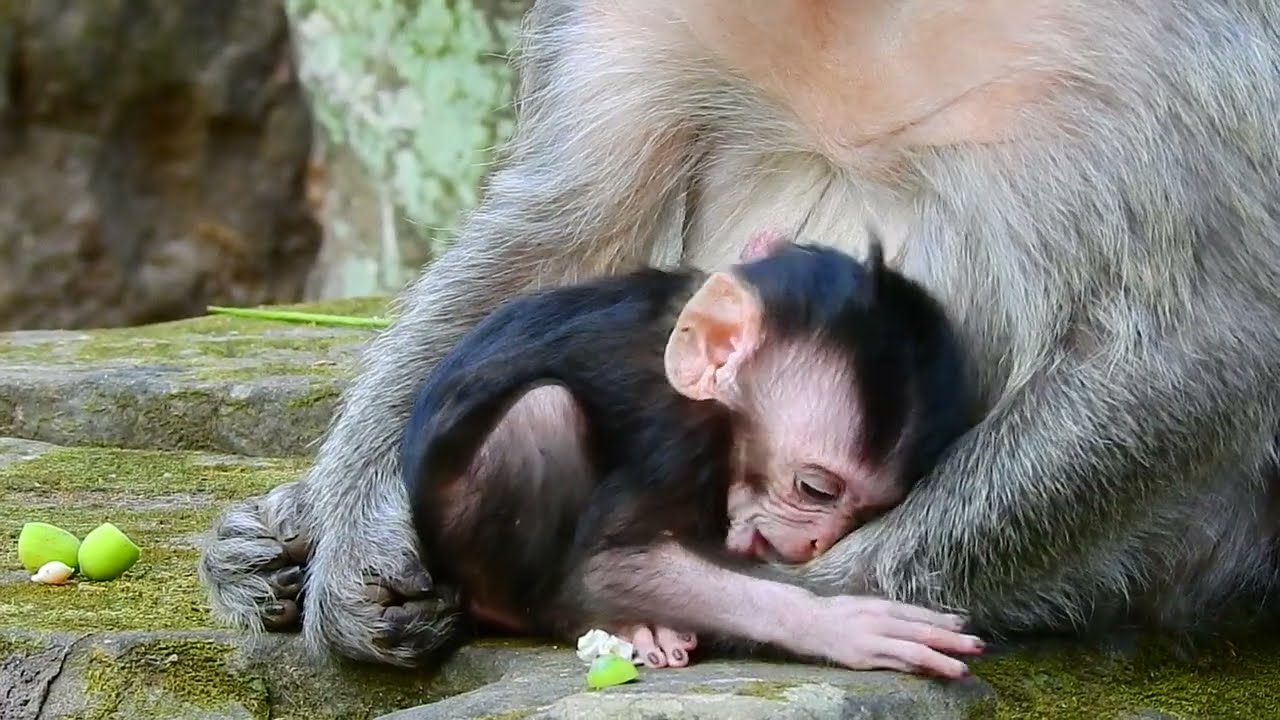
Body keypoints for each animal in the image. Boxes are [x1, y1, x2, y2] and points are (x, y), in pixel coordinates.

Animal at [400, 239, 982, 674]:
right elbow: (608, 567)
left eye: (864, 513)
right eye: (816, 490)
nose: (819, 540)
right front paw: (836, 623)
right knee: (541, 412)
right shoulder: (678, 432)